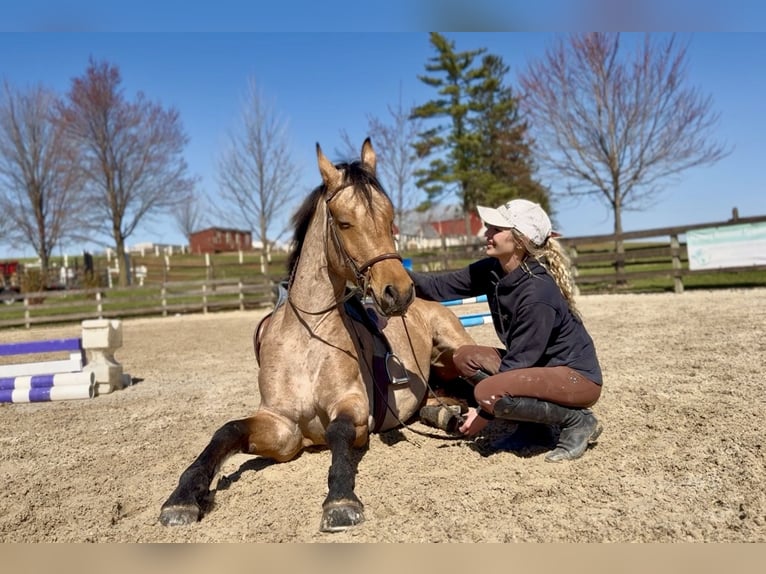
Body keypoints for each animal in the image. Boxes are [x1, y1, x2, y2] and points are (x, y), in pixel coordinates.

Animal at [159, 138, 475, 532]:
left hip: (457, 345)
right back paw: (445, 415)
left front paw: (339, 501)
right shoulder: (281, 427)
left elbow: (338, 432)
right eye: (344, 222)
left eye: (391, 220)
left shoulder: (353, 409)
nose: (399, 292)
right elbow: (226, 431)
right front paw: (183, 498)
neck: (306, 341)